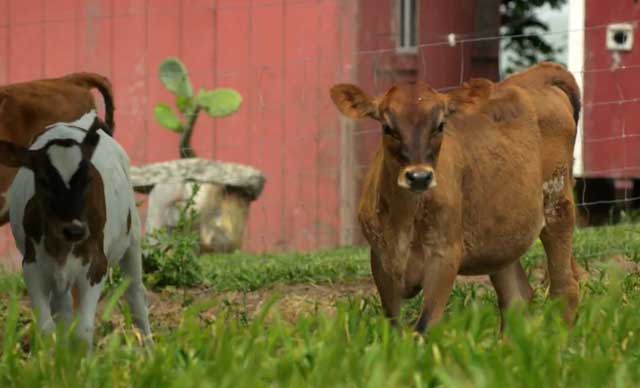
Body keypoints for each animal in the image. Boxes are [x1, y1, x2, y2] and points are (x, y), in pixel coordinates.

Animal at [0, 110, 151, 348]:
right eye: (43, 181)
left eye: (88, 178)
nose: (74, 230)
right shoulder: (32, 267)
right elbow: (47, 330)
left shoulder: (96, 265)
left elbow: (83, 332)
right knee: (63, 310)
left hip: (133, 239)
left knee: (136, 297)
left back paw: (150, 349)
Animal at [332, 63, 584, 330]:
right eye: (387, 127)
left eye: (440, 125)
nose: (419, 177)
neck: (404, 219)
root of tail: (535, 75)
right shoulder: (381, 260)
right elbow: (394, 326)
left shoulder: (445, 256)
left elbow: (425, 326)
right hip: (501, 239)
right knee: (516, 298)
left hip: (558, 206)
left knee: (564, 289)